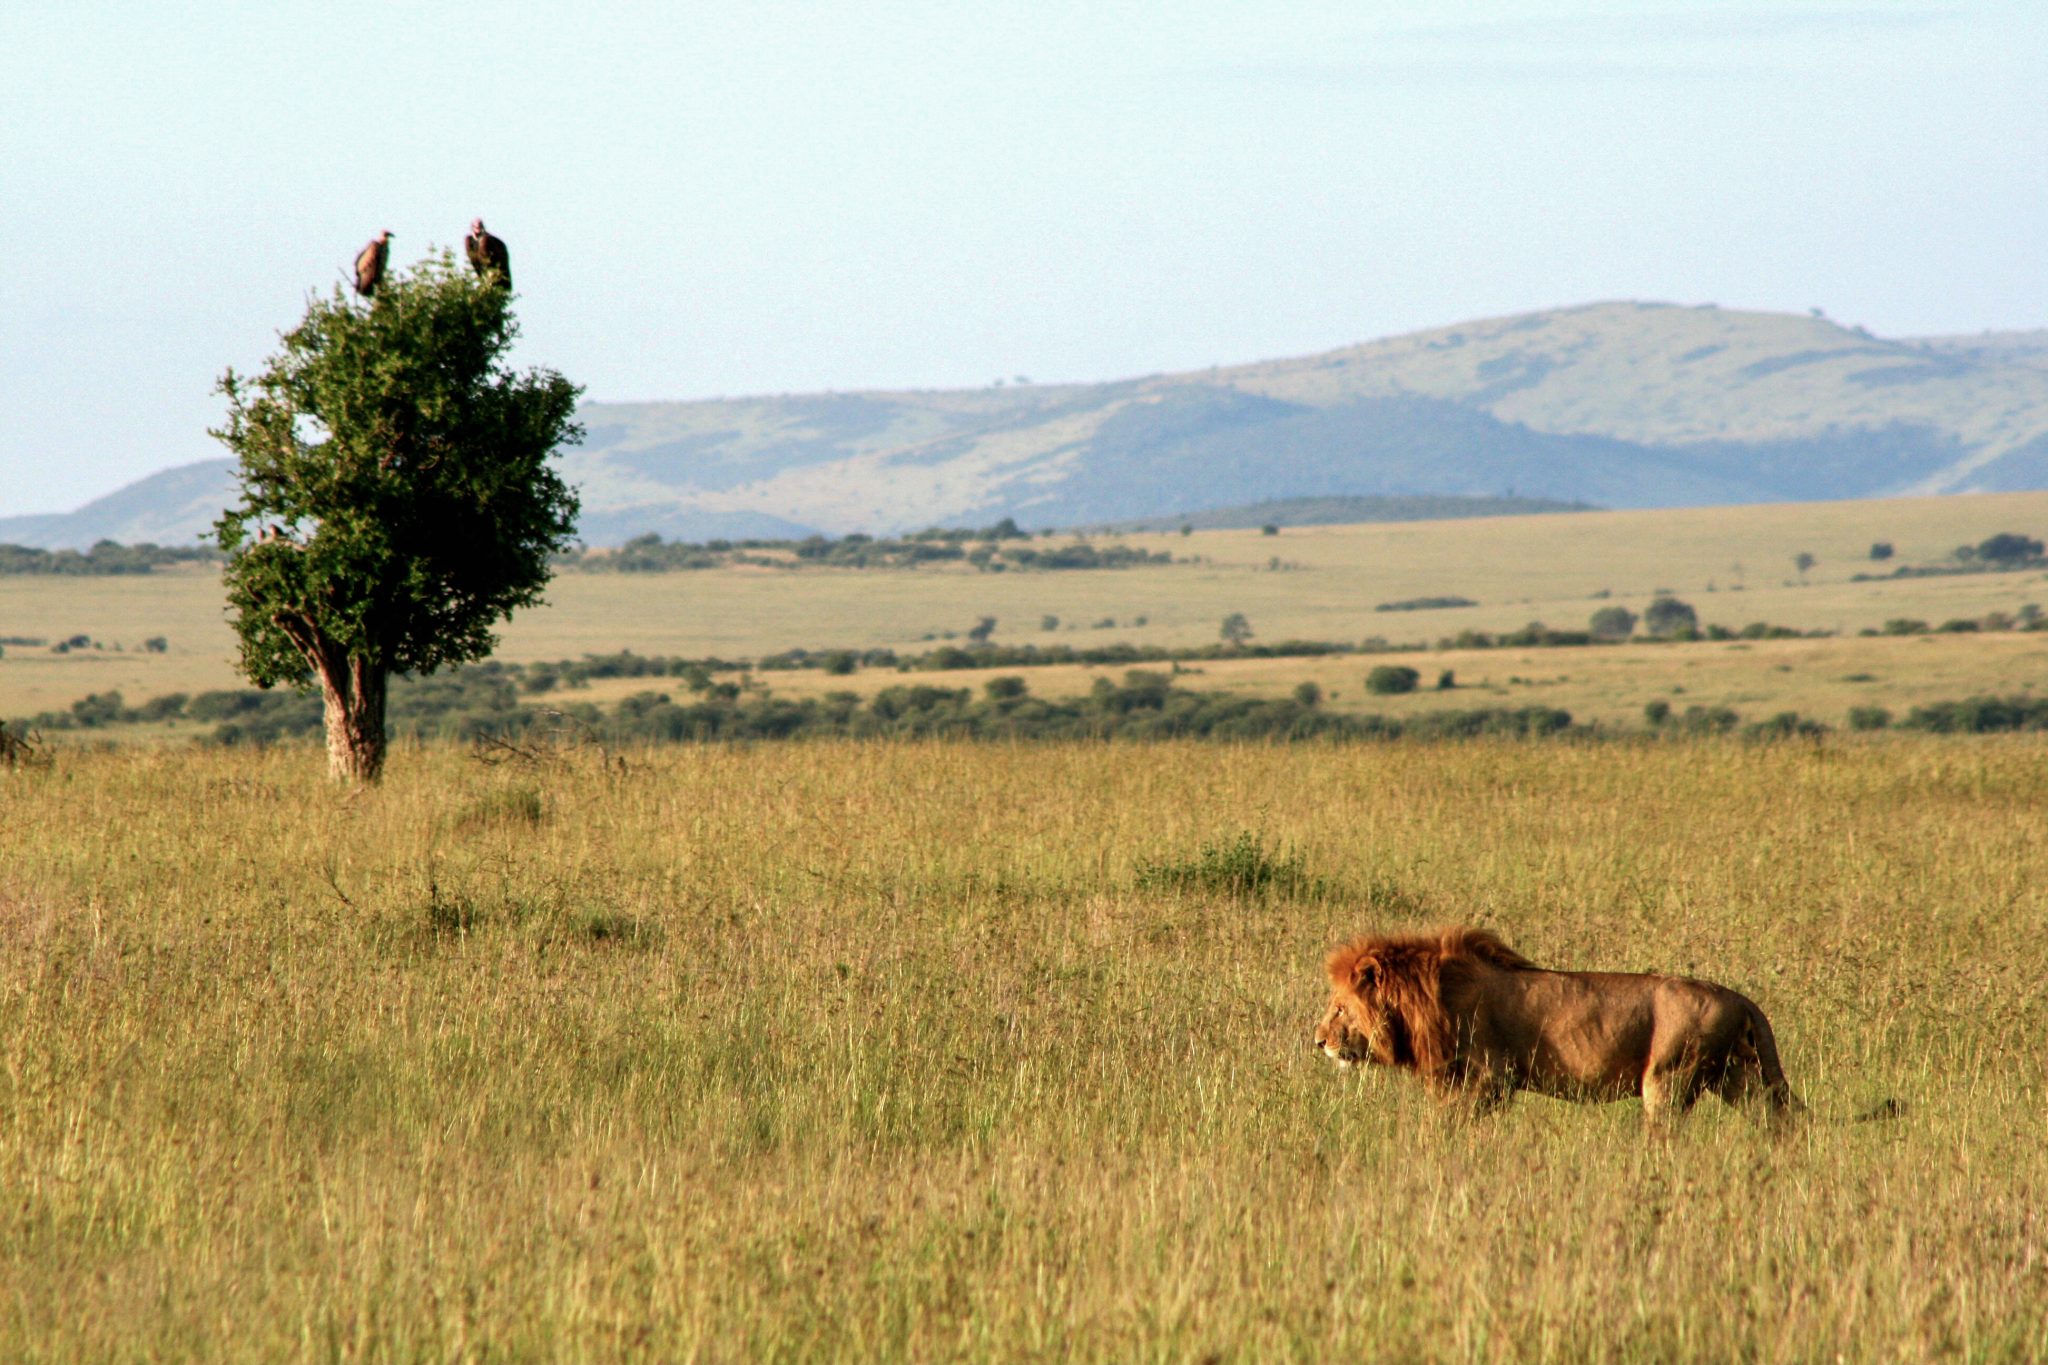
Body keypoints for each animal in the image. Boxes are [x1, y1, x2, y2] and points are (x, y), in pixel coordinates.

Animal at [1313, 926, 1807, 1124]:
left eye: (1338, 1008)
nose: (1317, 1042)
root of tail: (1739, 998)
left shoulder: (1487, 1078)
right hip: (1739, 1076)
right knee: (1779, 1118)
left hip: (1669, 1079)